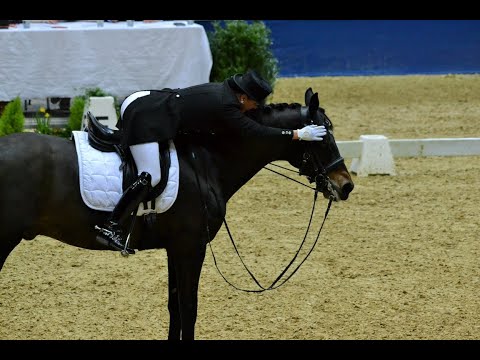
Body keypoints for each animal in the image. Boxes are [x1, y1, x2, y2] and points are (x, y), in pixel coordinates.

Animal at [0, 88, 352, 340]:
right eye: (324, 137)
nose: (345, 186)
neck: (208, 161)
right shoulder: (191, 247)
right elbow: (189, 309)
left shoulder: (176, 249)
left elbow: (174, 308)